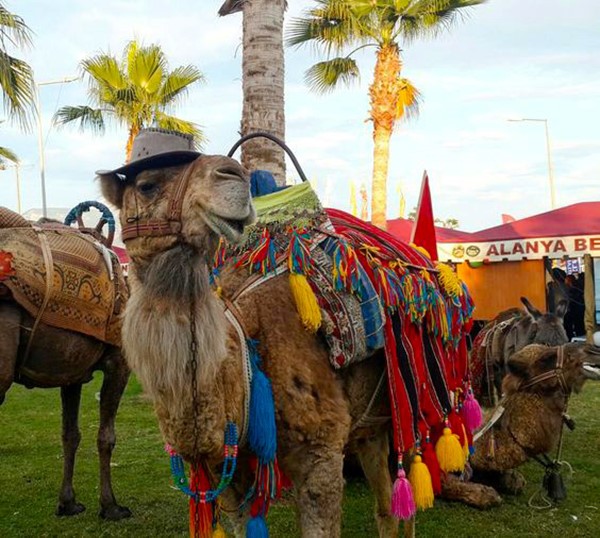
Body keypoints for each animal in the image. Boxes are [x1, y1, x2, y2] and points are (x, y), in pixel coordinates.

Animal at [0, 203, 131, 516]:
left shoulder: (71, 371)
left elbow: (70, 435)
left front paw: (68, 502)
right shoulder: (118, 363)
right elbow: (106, 436)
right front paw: (111, 506)